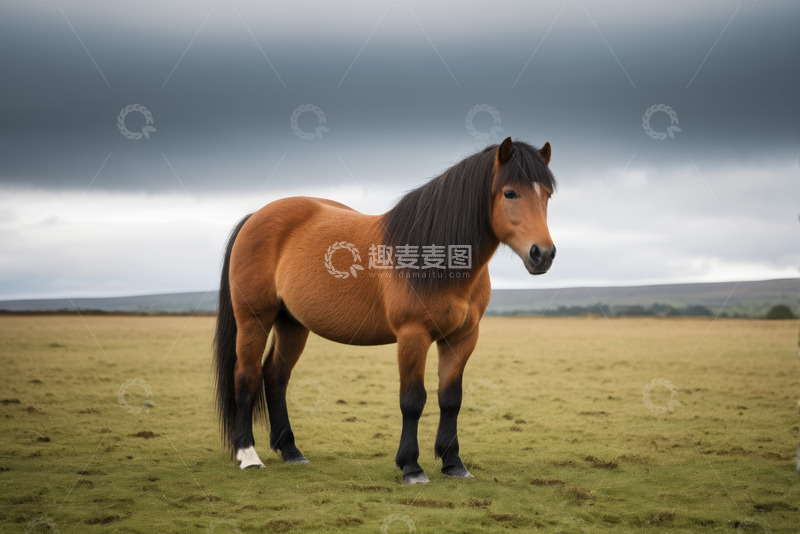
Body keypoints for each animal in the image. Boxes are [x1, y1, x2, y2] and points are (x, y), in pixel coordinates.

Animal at [213, 137, 557, 484]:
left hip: (293, 324)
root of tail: (256, 215)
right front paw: (411, 467)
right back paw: (248, 455)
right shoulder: (413, 335)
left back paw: (291, 451)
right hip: (254, 319)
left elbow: (451, 399)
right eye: (510, 193)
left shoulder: (462, 338)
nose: (543, 254)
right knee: (247, 375)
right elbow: (413, 400)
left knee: (276, 376)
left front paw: (453, 464)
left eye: (547, 194)